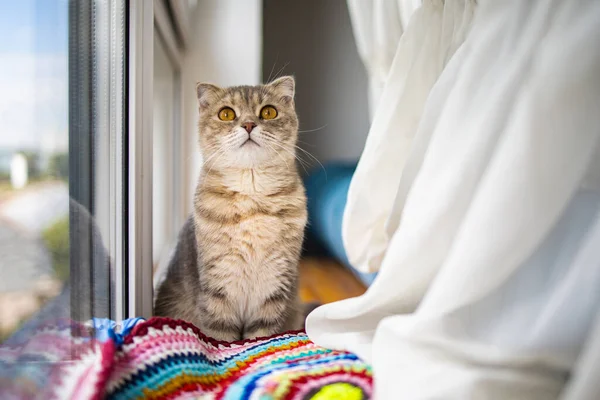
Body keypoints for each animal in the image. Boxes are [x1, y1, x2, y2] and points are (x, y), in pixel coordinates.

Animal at [155, 76, 308, 340]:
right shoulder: (218, 287)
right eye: (226, 114)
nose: (248, 124)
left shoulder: (275, 285)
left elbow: (260, 337)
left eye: (269, 112)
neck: (252, 196)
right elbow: (221, 337)